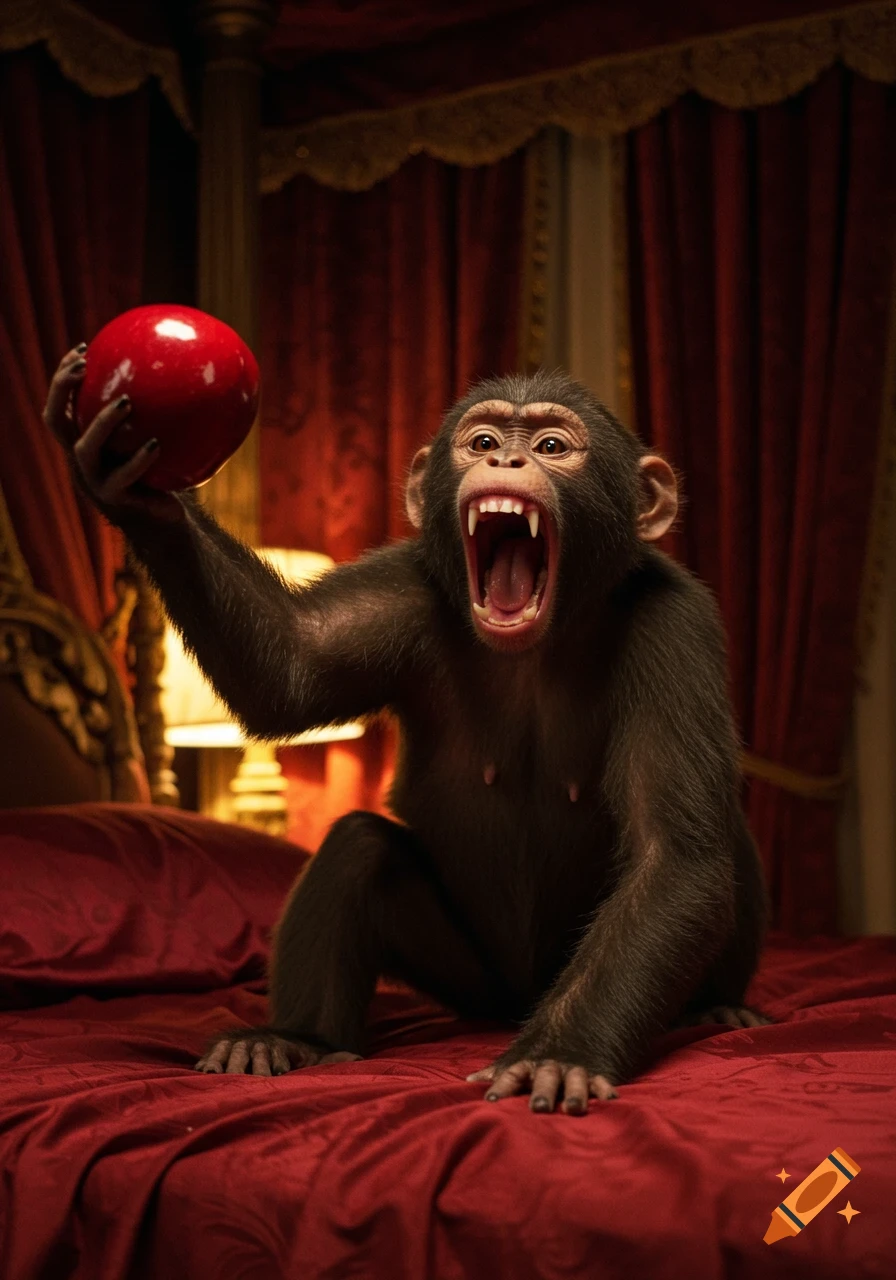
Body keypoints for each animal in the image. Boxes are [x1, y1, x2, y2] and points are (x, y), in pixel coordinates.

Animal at [44, 350, 769, 1115]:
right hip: (472, 979)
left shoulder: (677, 628)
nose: (507, 459)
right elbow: (292, 665)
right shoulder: (403, 589)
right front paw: (133, 491)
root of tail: (516, 998)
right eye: (482, 441)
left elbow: (673, 858)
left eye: (551, 446)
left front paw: (560, 1053)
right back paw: (292, 1039)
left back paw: (714, 1008)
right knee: (357, 848)